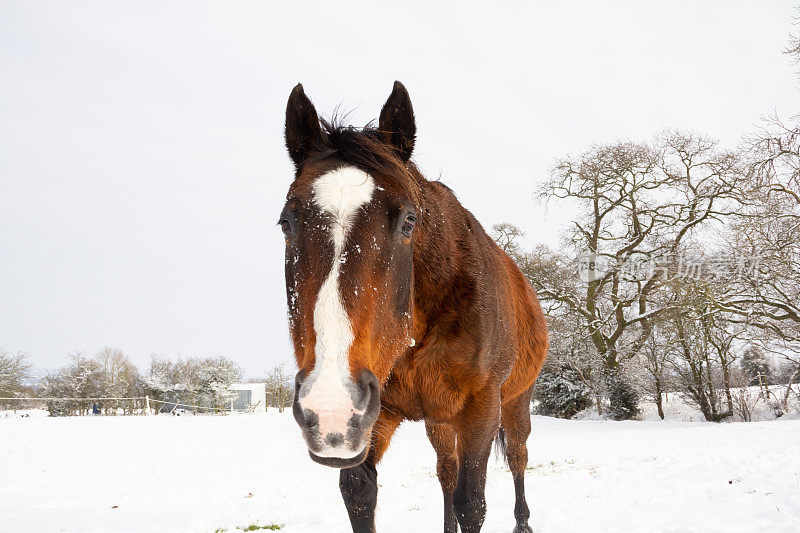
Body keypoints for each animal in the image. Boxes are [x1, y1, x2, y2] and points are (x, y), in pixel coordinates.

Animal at [278, 80, 548, 532]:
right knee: (446, 471)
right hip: (439, 419)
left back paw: (524, 521)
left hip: (515, 403)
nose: (330, 405)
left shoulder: (482, 407)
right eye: (286, 223)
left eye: (408, 221)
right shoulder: (374, 416)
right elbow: (361, 496)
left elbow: (471, 503)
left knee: (517, 458)